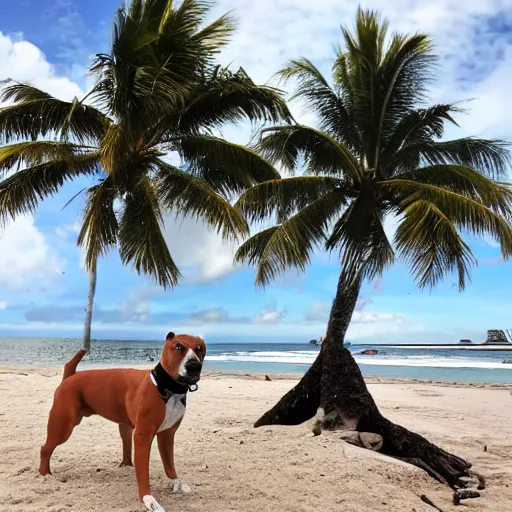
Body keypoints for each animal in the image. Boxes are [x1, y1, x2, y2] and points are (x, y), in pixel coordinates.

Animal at [40, 332, 206, 512]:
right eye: (178, 347)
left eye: (199, 349)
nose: (194, 365)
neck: (167, 388)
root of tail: (70, 376)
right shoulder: (143, 437)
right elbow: (143, 473)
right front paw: (149, 500)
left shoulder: (167, 435)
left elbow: (169, 464)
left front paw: (176, 483)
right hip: (62, 427)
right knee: (45, 449)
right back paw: (45, 474)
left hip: (121, 427)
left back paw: (126, 465)